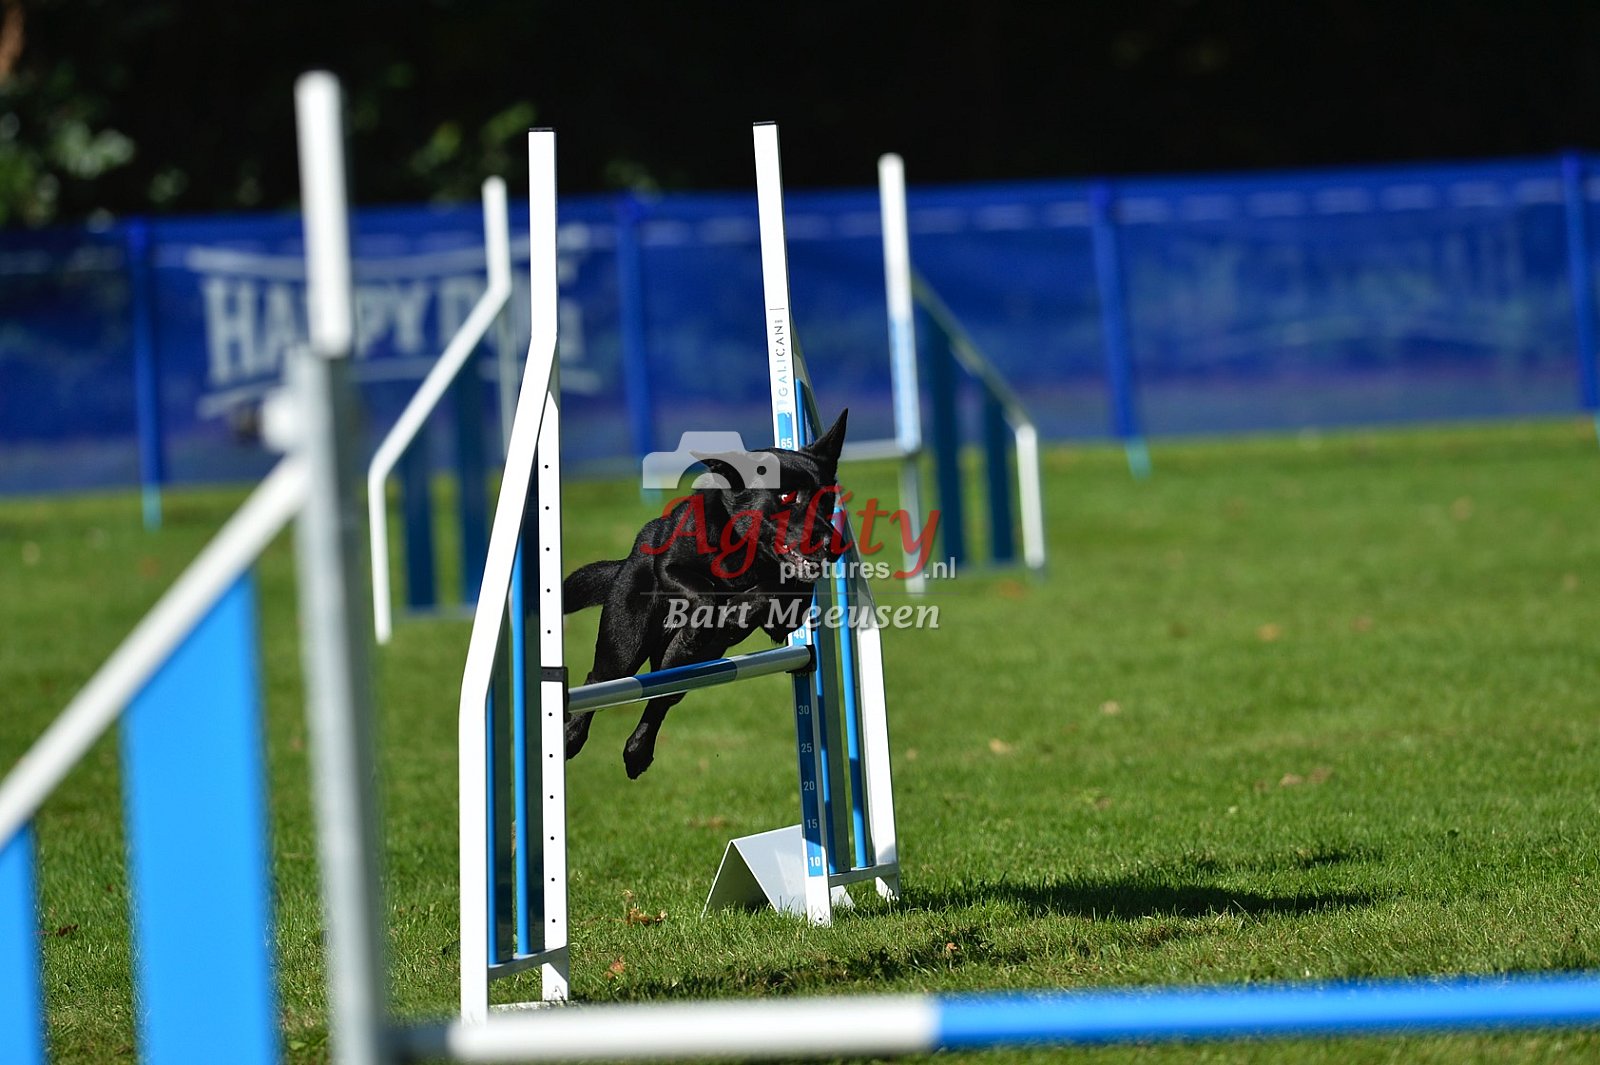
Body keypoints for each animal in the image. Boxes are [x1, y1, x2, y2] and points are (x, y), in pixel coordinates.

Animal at [562, 410, 848, 778]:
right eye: (786, 497)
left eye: (826, 500)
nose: (834, 545)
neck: (745, 550)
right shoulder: (669, 567)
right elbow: (707, 590)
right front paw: (709, 620)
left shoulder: (786, 615)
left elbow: (779, 591)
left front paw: (738, 611)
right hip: (624, 645)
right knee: (599, 679)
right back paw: (571, 737)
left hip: (686, 668)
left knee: (661, 697)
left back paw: (638, 752)